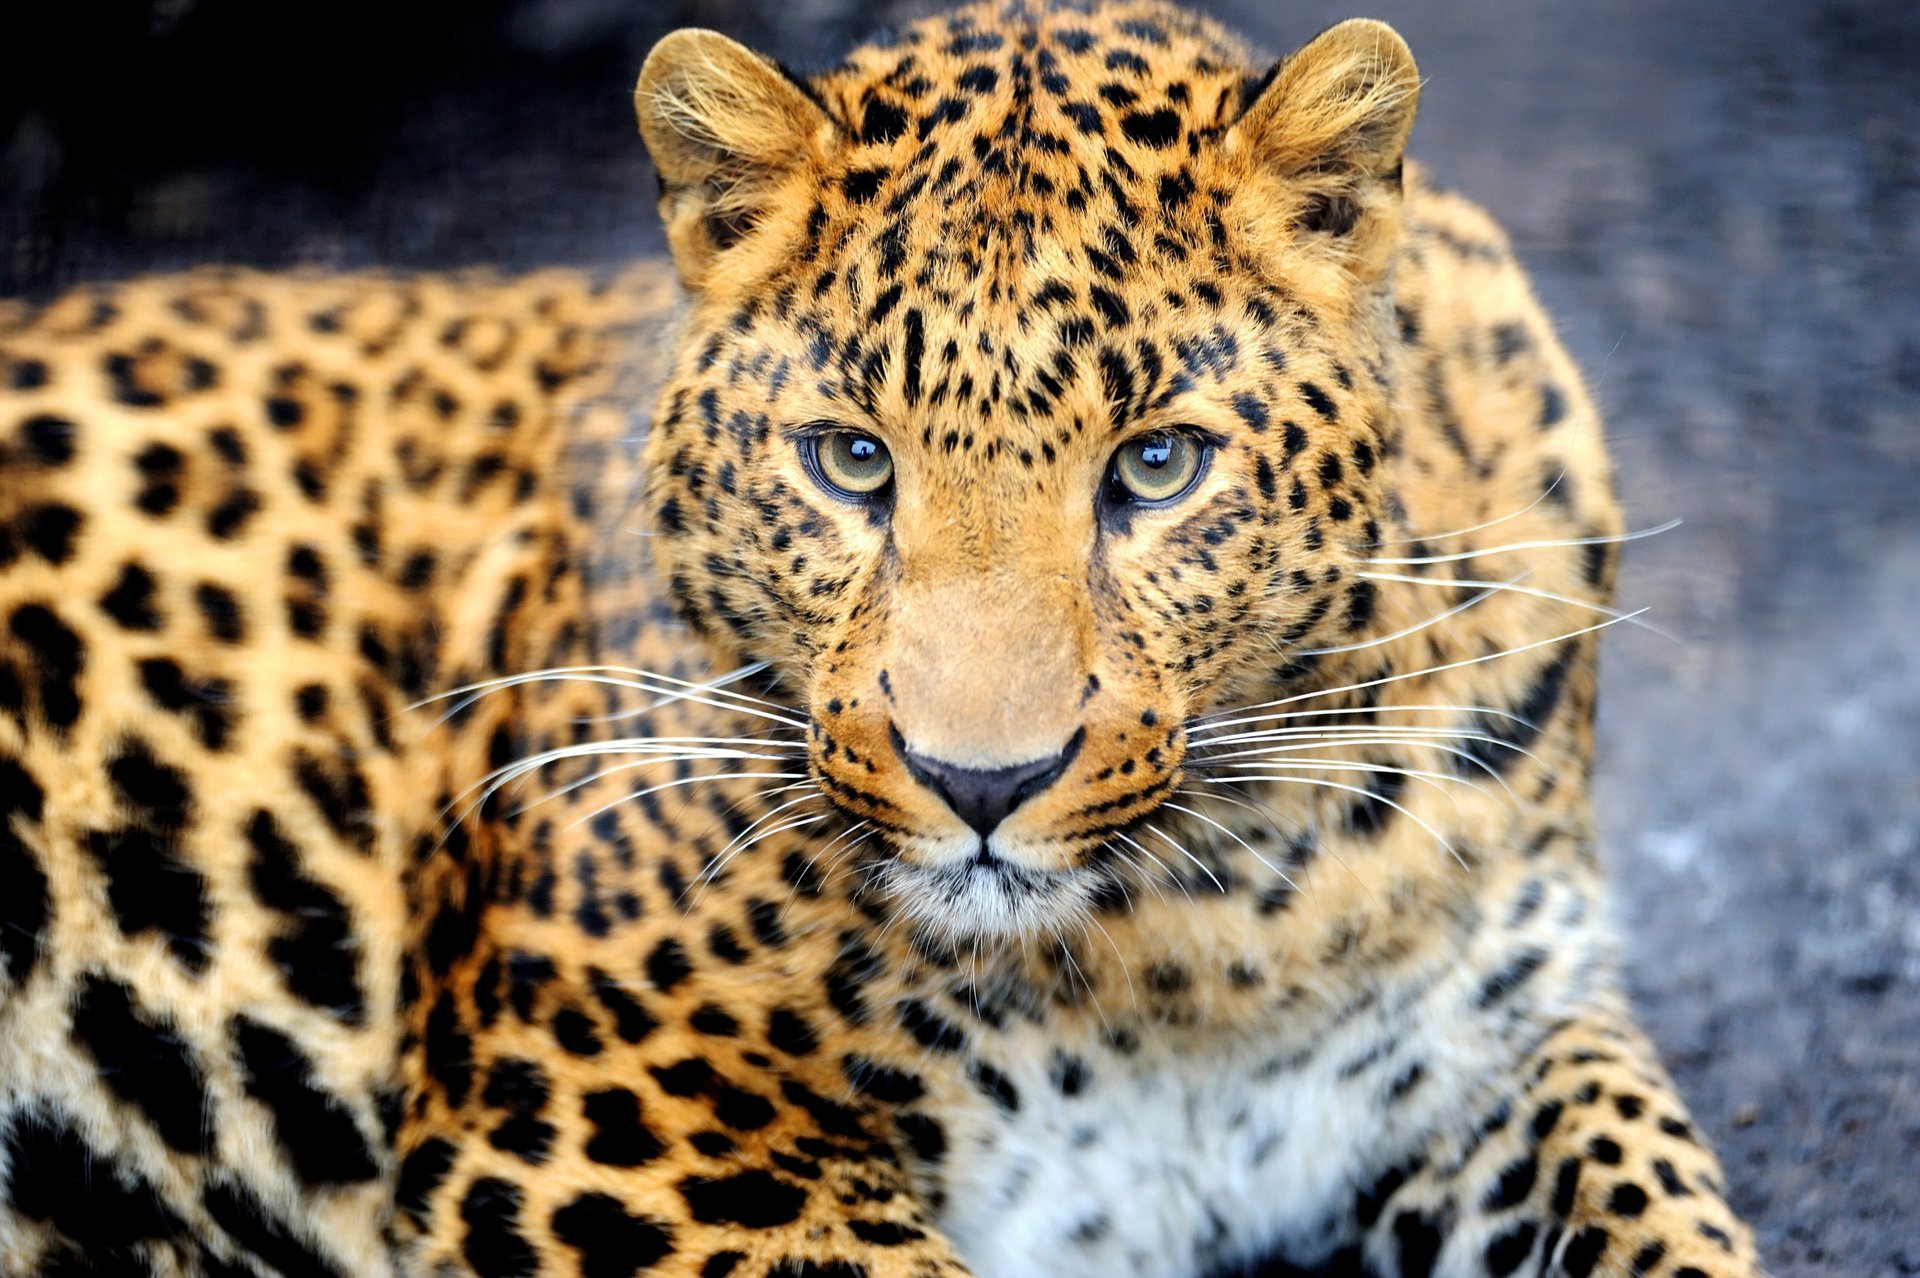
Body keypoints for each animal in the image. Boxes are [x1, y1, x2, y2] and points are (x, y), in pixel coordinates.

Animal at [0, 3, 1767, 1277]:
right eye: (853, 460)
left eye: (1156, 465)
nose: (980, 783)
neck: (1199, 936)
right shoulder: (607, 1115)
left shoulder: (1495, 1039)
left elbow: (1663, 1206)